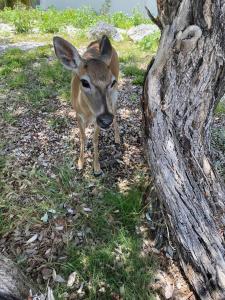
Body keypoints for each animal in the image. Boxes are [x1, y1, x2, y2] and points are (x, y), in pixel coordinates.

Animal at [53, 35, 119, 176]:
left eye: (112, 81)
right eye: (84, 82)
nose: (106, 119)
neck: (88, 111)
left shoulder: (97, 118)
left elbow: (95, 139)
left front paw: (97, 167)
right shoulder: (78, 114)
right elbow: (83, 137)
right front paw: (80, 163)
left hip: (114, 96)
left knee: (115, 111)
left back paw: (117, 138)